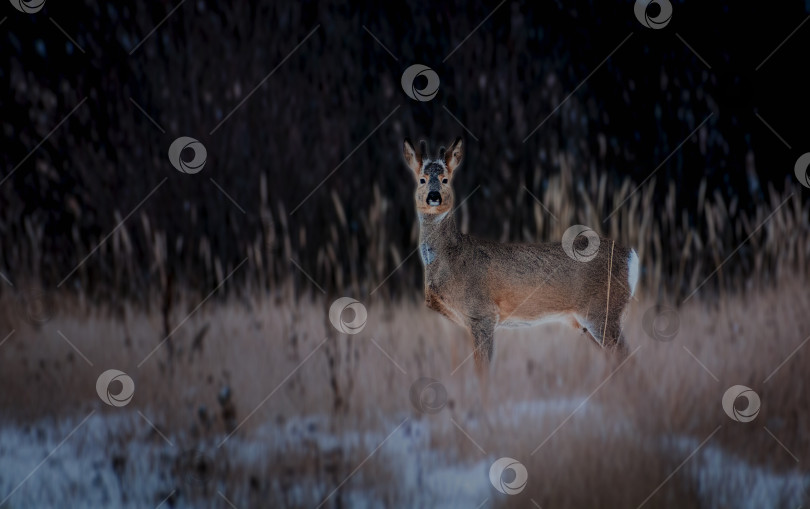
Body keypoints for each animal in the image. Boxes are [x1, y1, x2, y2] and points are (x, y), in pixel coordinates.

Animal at [402, 137, 636, 372]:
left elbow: (483, 371)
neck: (450, 258)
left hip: (602, 310)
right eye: (422, 180)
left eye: (445, 179)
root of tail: (632, 255)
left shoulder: (482, 313)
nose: (434, 196)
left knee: (627, 355)